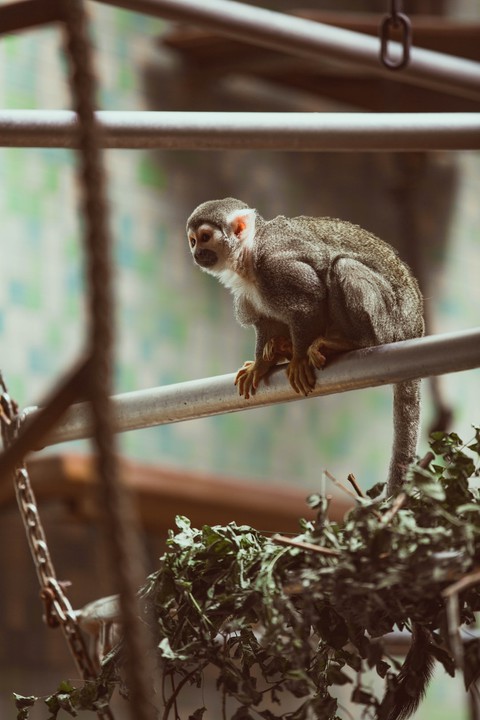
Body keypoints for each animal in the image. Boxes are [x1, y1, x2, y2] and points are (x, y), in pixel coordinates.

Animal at [186, 198, 424, 498]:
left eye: (205, 237)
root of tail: (414, 327)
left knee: (341, 266)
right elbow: (265, 322)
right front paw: (261, 363)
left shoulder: (276, 266)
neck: (250, 253)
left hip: (389, 324)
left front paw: (298, 358)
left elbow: (309, 300)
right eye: (193, 240)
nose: (196, 252)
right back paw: (283, 347)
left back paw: (348, 341)